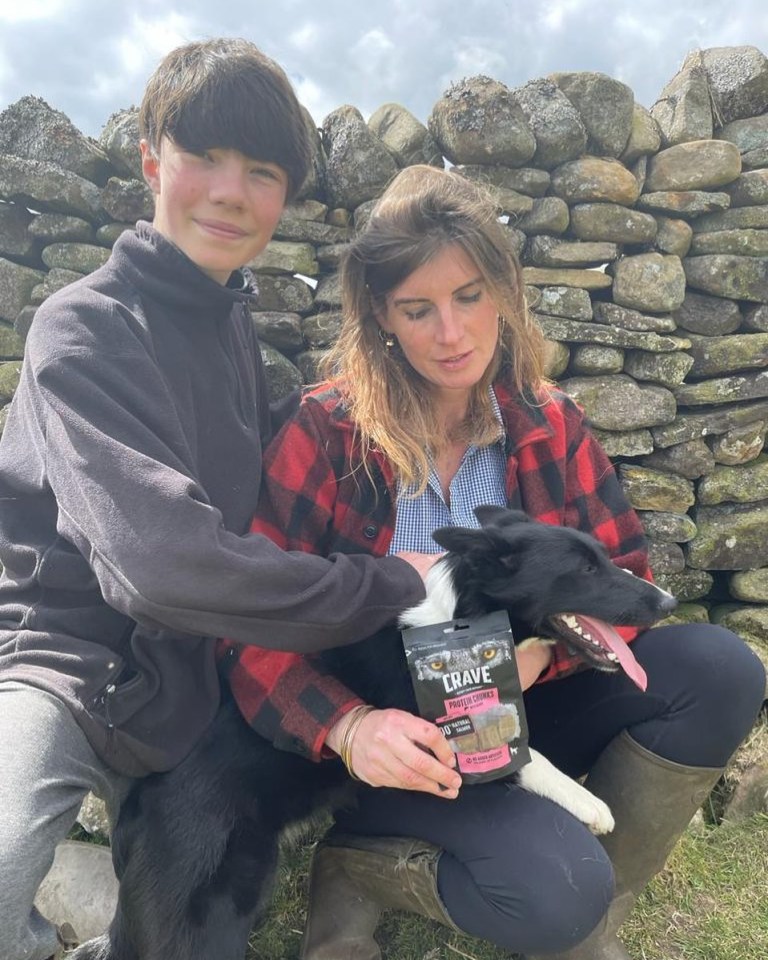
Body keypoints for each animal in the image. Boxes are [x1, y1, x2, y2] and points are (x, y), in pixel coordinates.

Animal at [70, 506, 672, 956]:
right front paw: (587, 802)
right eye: (585, 570)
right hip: (207, 914)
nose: (666, 600)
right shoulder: (439, 736)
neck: (459, 619)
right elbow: (523, 755)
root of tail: (128, 808)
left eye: (603, 558)